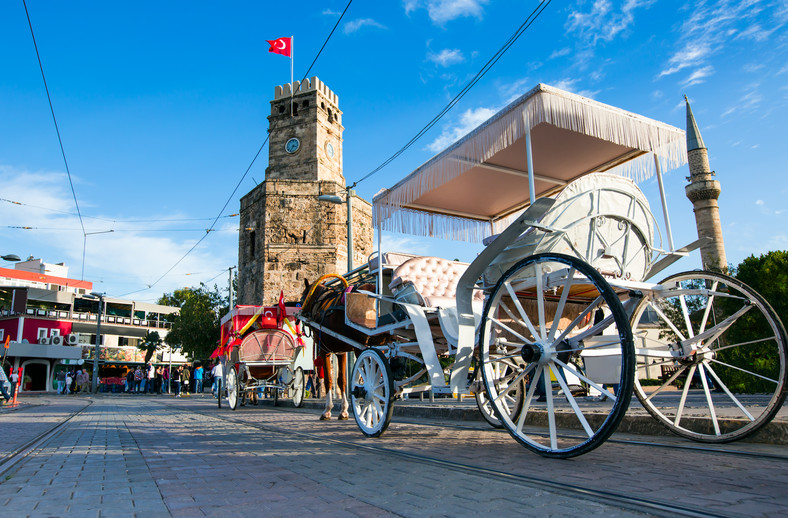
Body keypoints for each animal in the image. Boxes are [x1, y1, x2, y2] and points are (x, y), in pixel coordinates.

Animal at [300, 276, 390, 422]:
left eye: (303, 297)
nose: (301, 313)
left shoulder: (324, 350)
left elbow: (328, 380)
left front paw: (327, 410)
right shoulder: (340, 352)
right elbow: (341, 380)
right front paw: (343, 411)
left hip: (362, 347)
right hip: (380, 345)